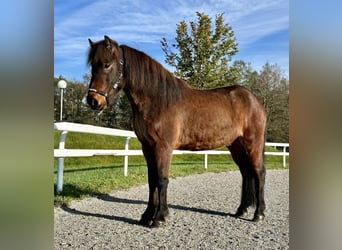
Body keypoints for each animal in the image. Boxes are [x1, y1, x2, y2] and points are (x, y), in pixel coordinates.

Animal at [86, 35, 268, 229]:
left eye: (107, 65)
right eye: (92, 65)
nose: (93, 100)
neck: (157, 100)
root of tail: (254, 100)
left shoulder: (163, 147)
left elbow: (162, 179)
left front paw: (159, 217)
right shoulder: (147, 147)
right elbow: (152, 180)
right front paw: (147, 216)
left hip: (253, 144)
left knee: (259, 173)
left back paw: (258, 213)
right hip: (235, 146)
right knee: (246, 173)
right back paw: (241, 210)